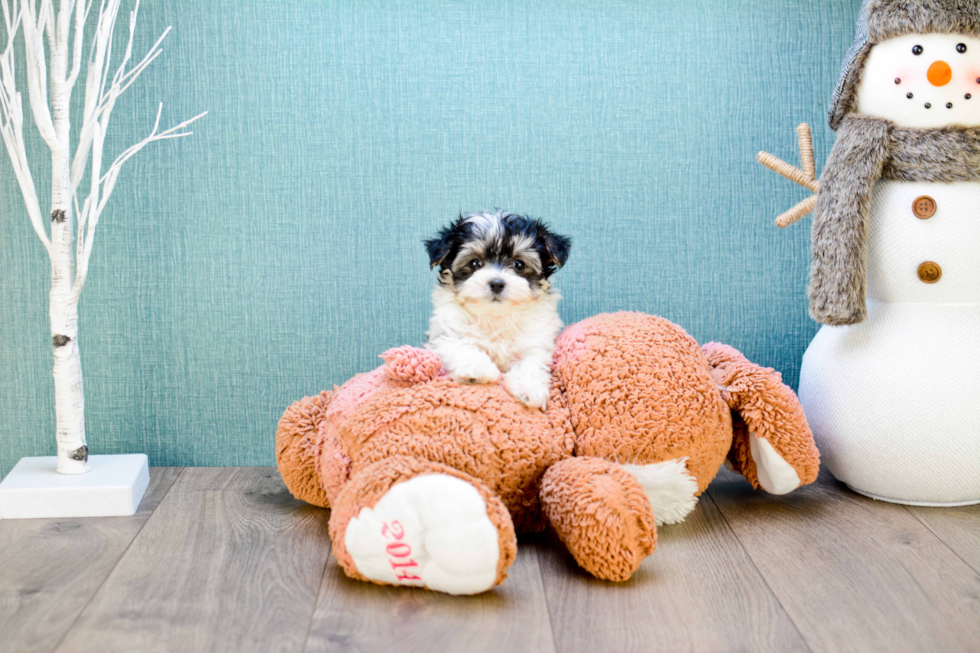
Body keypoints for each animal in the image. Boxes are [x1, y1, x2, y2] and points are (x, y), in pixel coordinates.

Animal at [424, 211, 572, 410]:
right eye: (475, 263)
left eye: (519, 264)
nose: (496, 283)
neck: (496, 315)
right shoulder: (447, 332)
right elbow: (462, 346)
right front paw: (476, 370)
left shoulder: (536, 340)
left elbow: (531, 361)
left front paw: (529, 388)